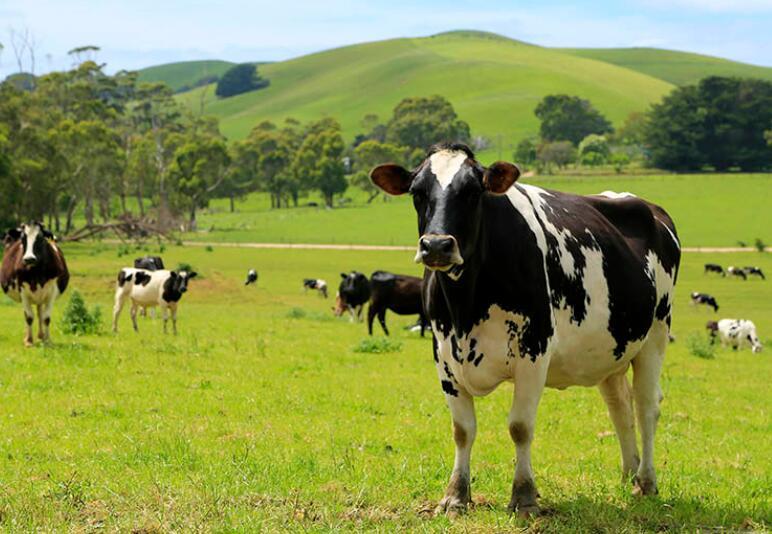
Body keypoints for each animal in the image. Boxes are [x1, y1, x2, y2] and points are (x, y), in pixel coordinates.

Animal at [370, 142, 680, 516]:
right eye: (417, 192)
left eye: (473, 191)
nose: (437, 246)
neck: (466, 306)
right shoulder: (443, 355)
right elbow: (462, 429)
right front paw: (455, 495)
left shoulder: (534, 351)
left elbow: (520, 426)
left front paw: (524, 496)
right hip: (612, 349)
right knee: (620, 407)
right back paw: (628, 474)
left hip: (655, 336)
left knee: (646, 406)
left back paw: (645, 481)